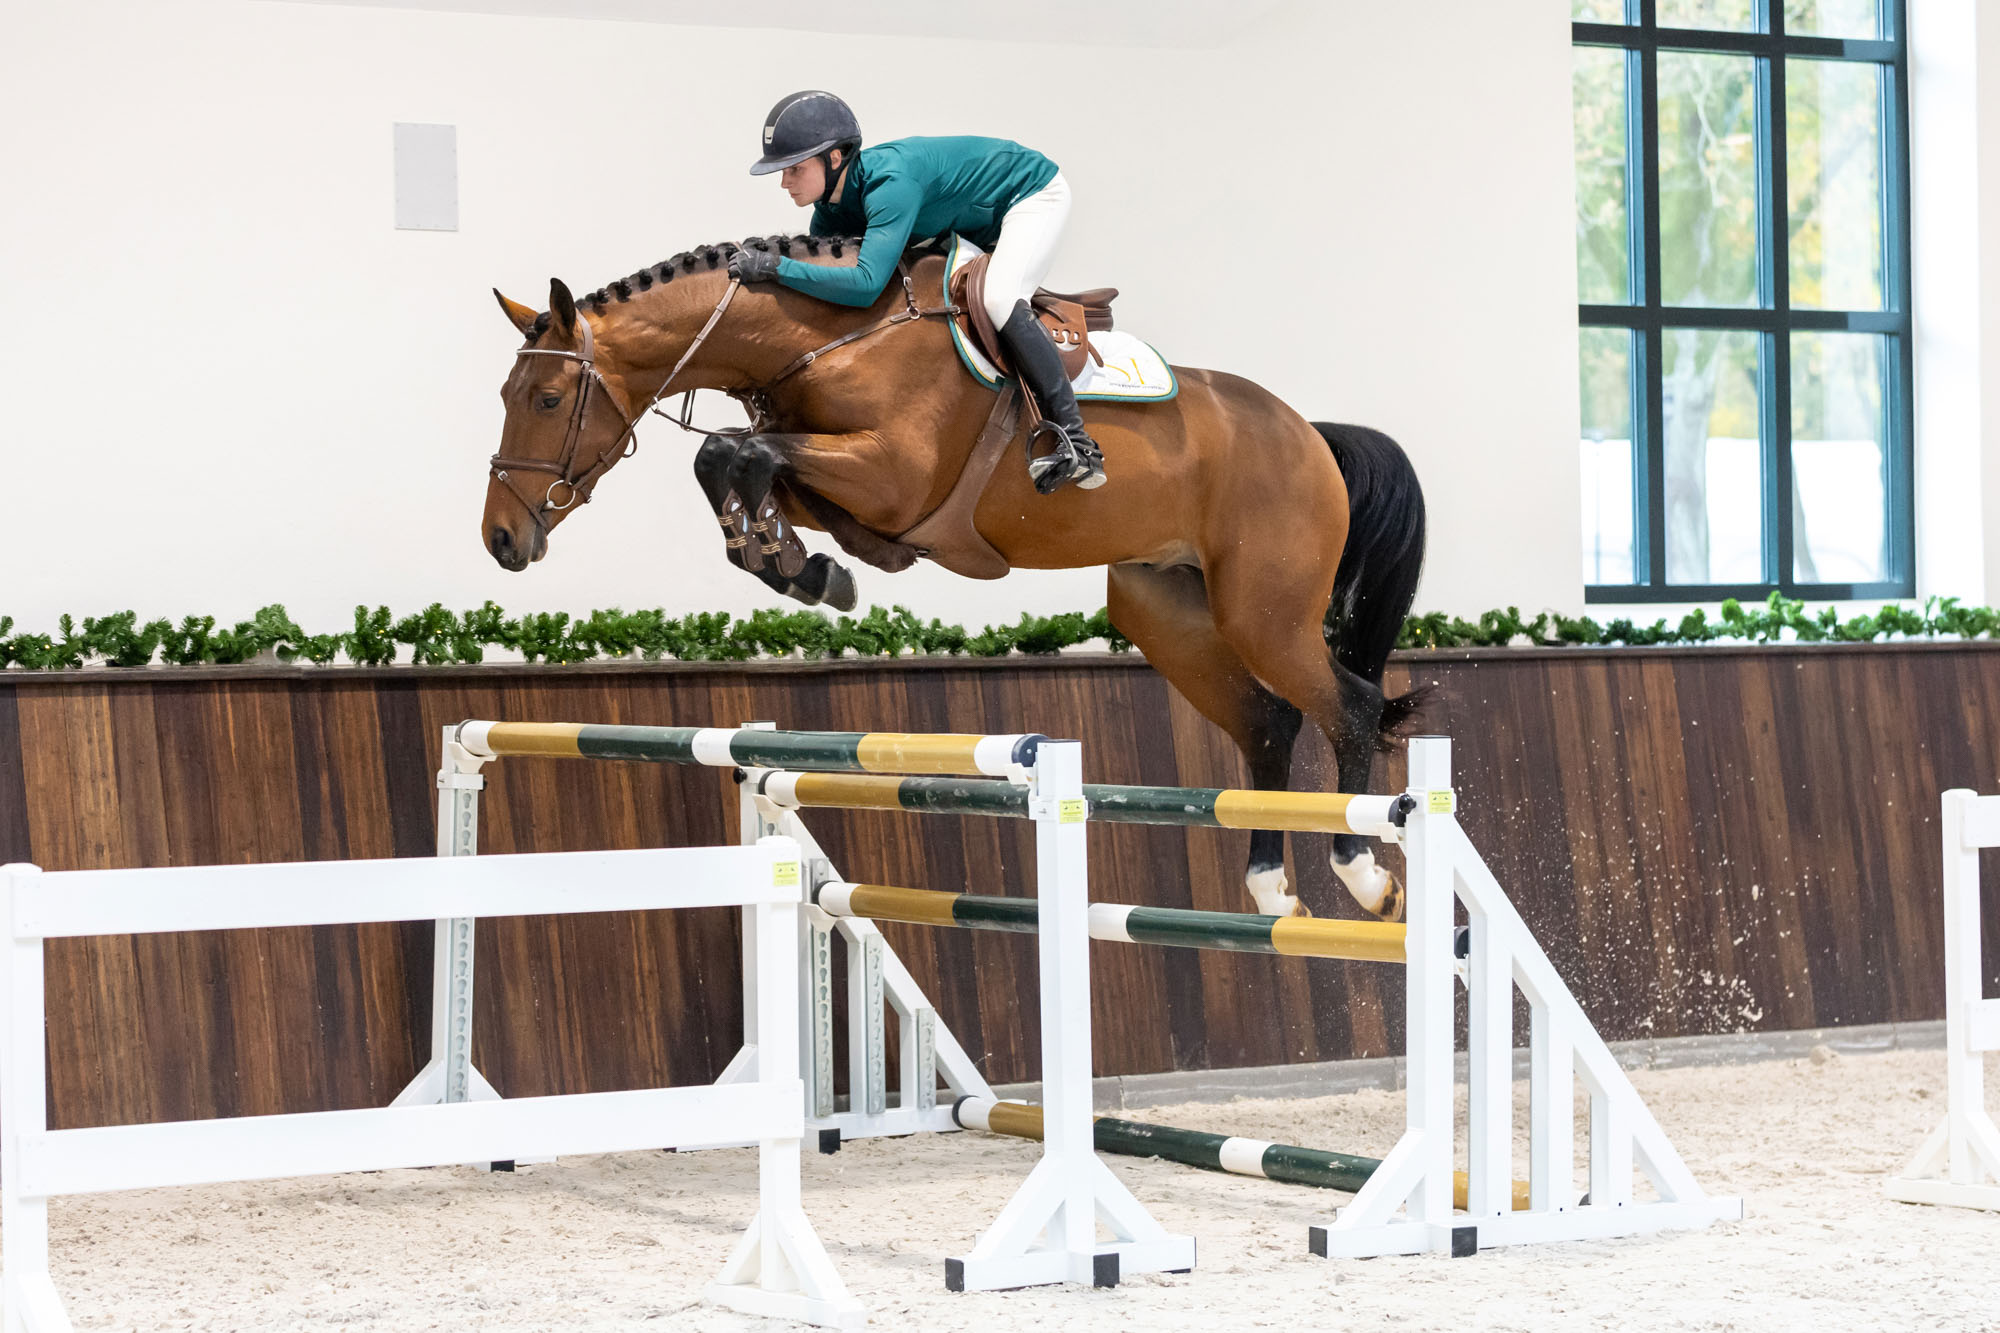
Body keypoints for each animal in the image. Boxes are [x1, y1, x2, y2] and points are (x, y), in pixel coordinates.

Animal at [482, 236, 1428, 922]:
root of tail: (1310, 433)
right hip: (1170, 612)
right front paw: (798, 564)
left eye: (544, 400)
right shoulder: (842, 478)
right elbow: (739, 460)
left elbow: (731, 451)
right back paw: (1272, 889)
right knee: (1269, 722)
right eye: (506, 394)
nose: (500, 538)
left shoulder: (890, 472)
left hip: (1262, 612)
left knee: (1347, 706)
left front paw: (792, 559)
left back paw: (1364, 874)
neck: (827, 339)